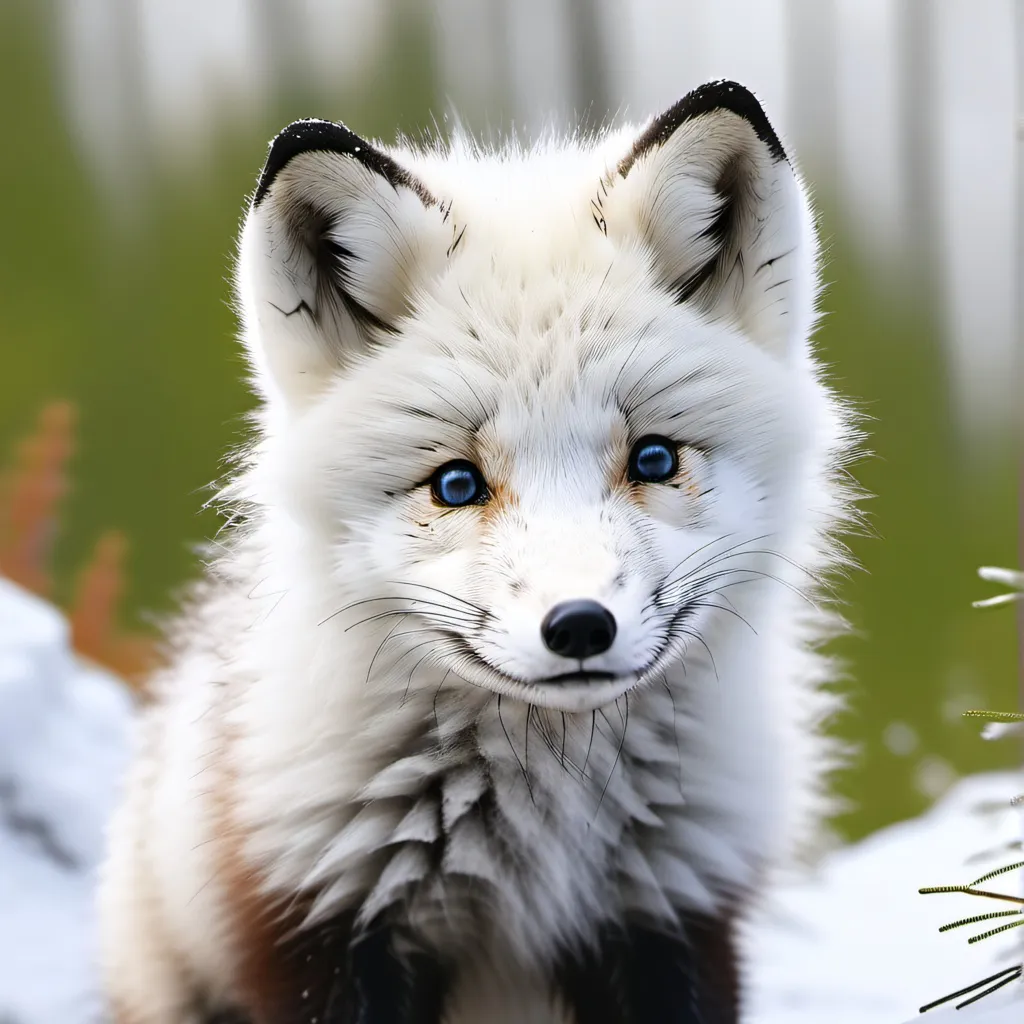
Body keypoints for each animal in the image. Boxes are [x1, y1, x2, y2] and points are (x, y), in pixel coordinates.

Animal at [97, 80, 856, 1024]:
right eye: (457, 485)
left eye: (653, 460)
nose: (580, 626)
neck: (541, 830)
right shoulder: (319, 928)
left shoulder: (671, 919)